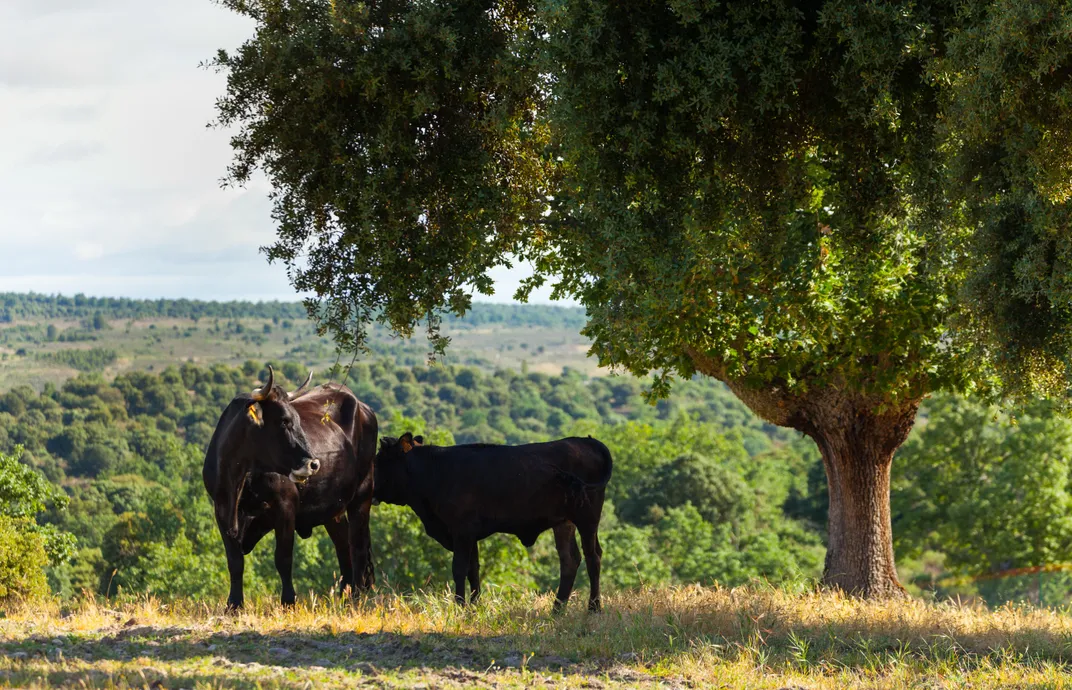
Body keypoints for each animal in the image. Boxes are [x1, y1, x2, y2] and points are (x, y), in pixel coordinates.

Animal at [202, 366, 379, 608]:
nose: (314, 464)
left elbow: (283, 558)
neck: (240, 480)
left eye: (297, 420)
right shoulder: (222, 511)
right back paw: (345, 594)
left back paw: (358, 597)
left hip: (362, 493)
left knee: (358, 545)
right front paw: (234, 604)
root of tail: (362, 406)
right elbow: (235, 561)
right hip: (333, 508)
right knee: (344, 546)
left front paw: (288, 601)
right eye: (284, 421)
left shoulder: (284, 507)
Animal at [375, 435, 613, 612]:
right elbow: (473, 569)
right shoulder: (470, 534)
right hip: (564, 522)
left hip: (588, 515)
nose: (371, 486)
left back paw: (594, 608)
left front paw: (459, 606)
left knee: (593, 557)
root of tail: (585, 440)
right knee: (570, 560)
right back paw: (557, 609)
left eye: (379, 461)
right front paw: (474, 606)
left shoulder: (462, 530)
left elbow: (459, 568)